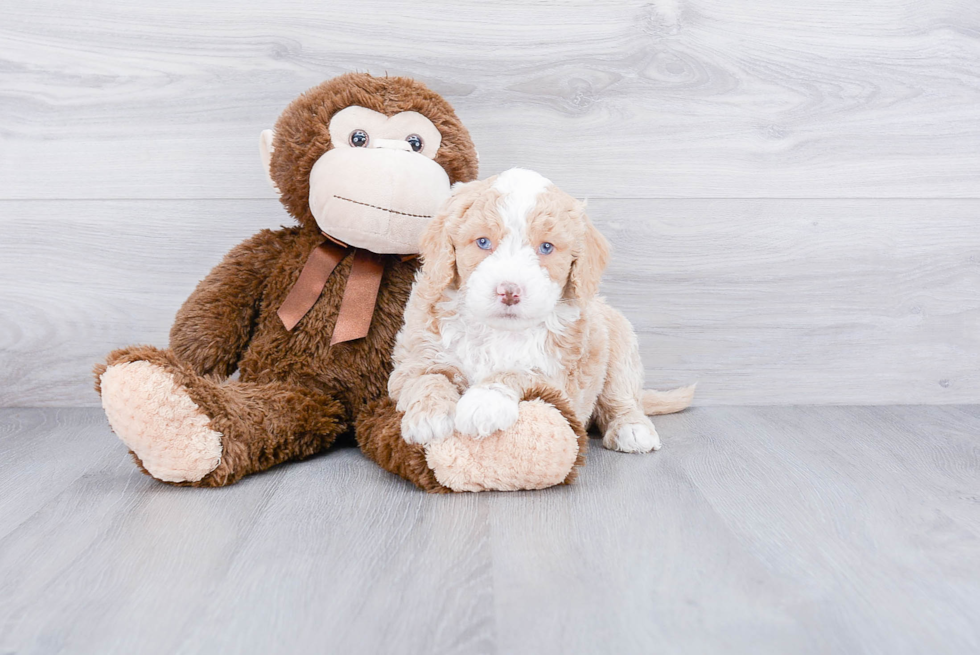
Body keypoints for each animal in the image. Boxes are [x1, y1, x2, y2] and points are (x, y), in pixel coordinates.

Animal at [386, 169, 692, 454]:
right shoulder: (414, 356)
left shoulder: (558, 378)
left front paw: (485, 400)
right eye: (483, 242)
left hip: (619, 345)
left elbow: (520, 370)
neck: (498, 332)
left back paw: (632, 428)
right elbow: (427, 377)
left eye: (546, 247)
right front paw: (428, 416)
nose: (509, 291)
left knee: (622, 397)